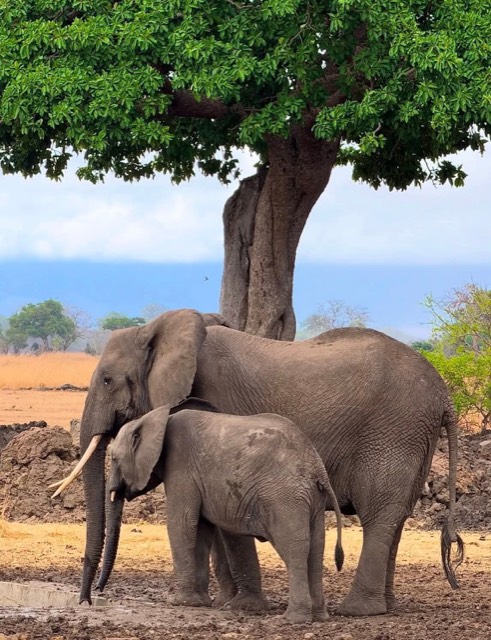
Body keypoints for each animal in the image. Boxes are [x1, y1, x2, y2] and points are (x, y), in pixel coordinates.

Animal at [98, 401, 345, 623]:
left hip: (285, 497)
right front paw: (199, 602)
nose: (98, 593)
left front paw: (179, 602)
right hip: (312, 500)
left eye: (114, 458)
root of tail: (317, 468)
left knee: (294, 549)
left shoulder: (180, 466)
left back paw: (292, 620)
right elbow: (200, 529)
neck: (158, 417)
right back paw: (319, 617)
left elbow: (182, 524)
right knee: (316, 550)